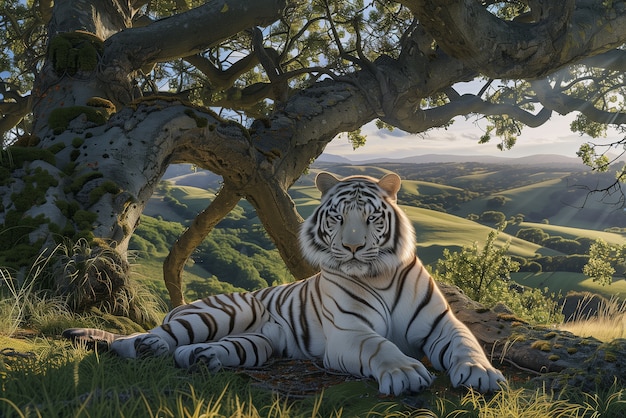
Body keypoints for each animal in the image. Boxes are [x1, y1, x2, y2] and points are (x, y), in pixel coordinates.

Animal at [63, 171, 504, 394]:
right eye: (338, 217)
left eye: (371, 217)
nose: (353, 247)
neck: (379, 275)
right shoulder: (350, 334)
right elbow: (381, 346)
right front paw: (406, 373)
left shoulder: (445, 325)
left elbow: (467, 345)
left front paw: (481, 373)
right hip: (217, 314)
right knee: (143, 340)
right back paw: (143, 345)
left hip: (259, 343)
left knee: (193, 351)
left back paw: (202, 358)